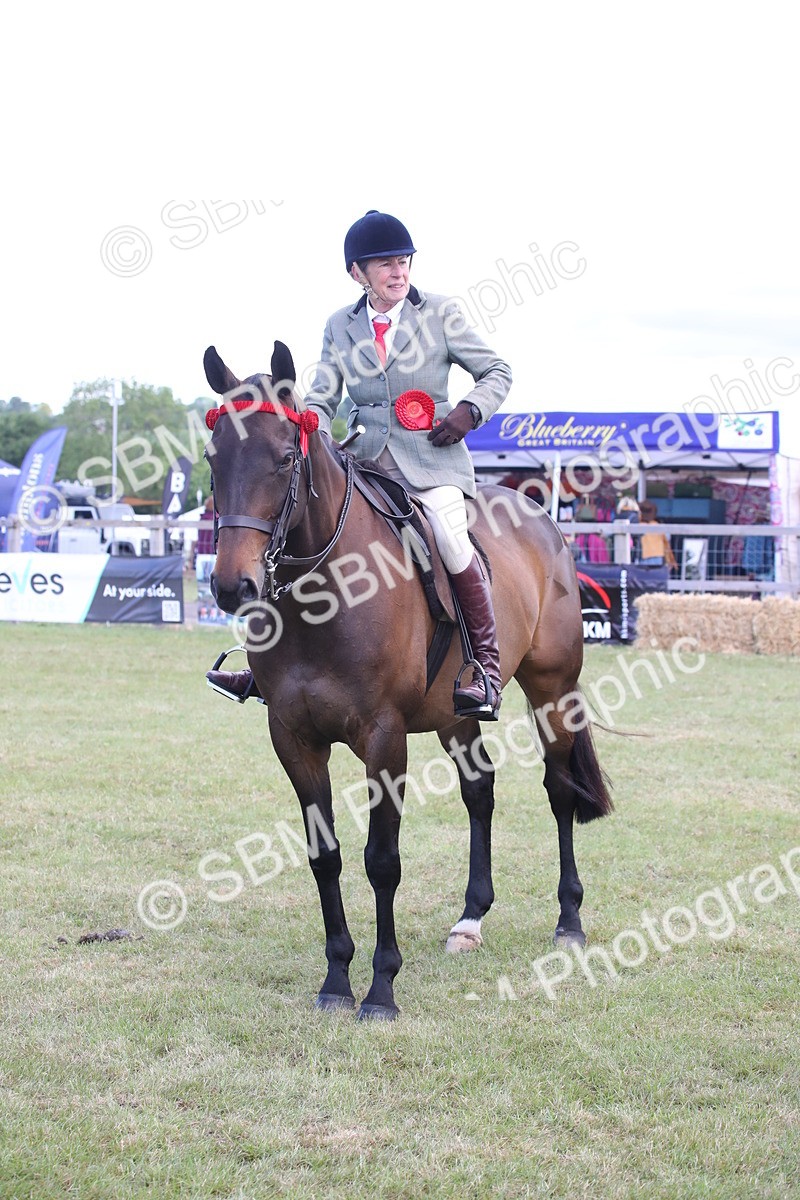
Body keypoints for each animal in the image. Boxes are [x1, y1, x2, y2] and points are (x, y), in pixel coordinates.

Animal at [203, 340, 613, 1021]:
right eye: (213, 458)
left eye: (285, 457)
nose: (233, 587)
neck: (326, 597)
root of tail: (538, 513)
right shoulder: (293, 738)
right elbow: (325, 857)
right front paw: (336, 979)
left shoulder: (383, 737)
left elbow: (382, 860)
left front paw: (380, 988)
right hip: (455, 713)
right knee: (481, 791)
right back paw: (471, 920)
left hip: (552, 690)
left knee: (560, 790)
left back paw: (570, 920)